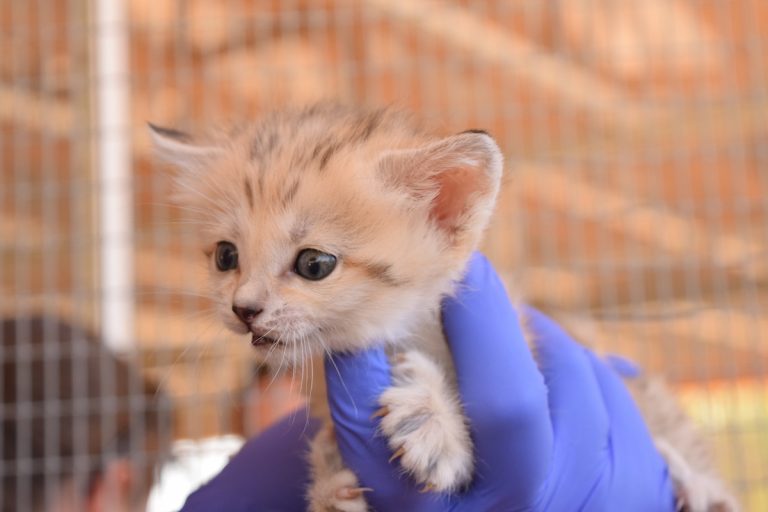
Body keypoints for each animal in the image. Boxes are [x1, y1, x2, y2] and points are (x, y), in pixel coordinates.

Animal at [148, 105, 736, 512]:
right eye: (226, 256)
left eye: (315, 264)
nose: (243, 308)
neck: (399, 335)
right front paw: (332, 490)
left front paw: (434, 419)